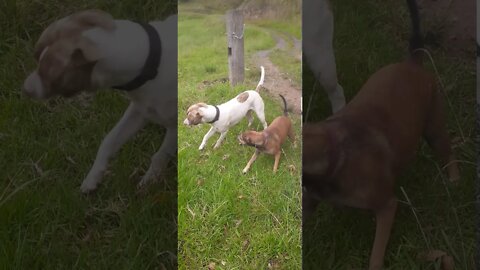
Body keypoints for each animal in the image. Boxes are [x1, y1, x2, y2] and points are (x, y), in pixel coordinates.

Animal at [22, 10, 176, 192]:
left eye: (50, 74)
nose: (24, 89)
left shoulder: (173, 126)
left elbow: (160, 155)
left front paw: (149, 181)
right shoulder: (139, 111)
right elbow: (108, 141)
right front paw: (93, 177)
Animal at [304, 0, 462, 270]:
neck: (335, 154)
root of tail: (412, 62)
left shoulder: (387, 206)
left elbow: (376, 254)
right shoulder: (311, 200)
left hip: (434, 128)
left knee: (448, 153)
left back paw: (454, 180)